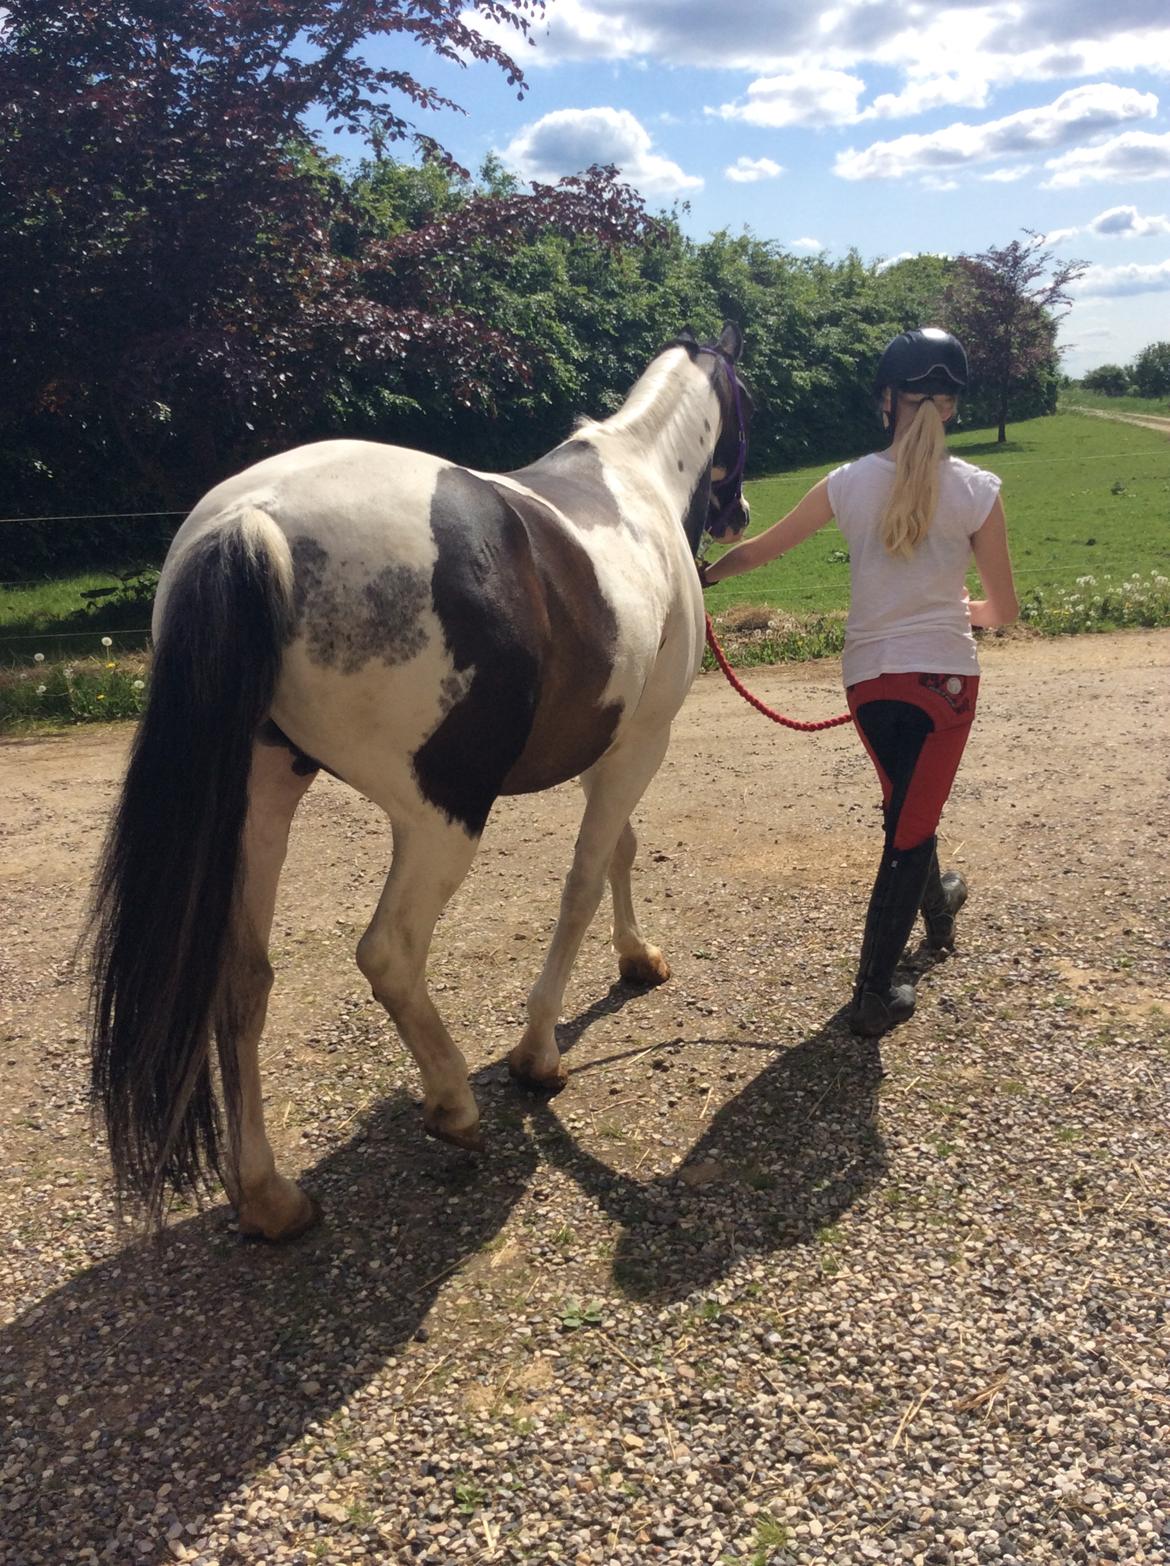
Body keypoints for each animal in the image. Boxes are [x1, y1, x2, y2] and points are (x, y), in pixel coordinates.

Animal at [89, 322, 752, 1242]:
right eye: (747, 401)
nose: (741, 514)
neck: (634, 480)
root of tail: (249, 521)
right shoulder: (639, 745)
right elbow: (584, 880)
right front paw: (538, 1053)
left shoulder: (616, 748)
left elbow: (620, 851)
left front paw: (636, 958)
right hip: (441, 818)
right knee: (390, 953)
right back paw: (452, 1103)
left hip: (261, 801)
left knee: (242, 979)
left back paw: (270, 1198)